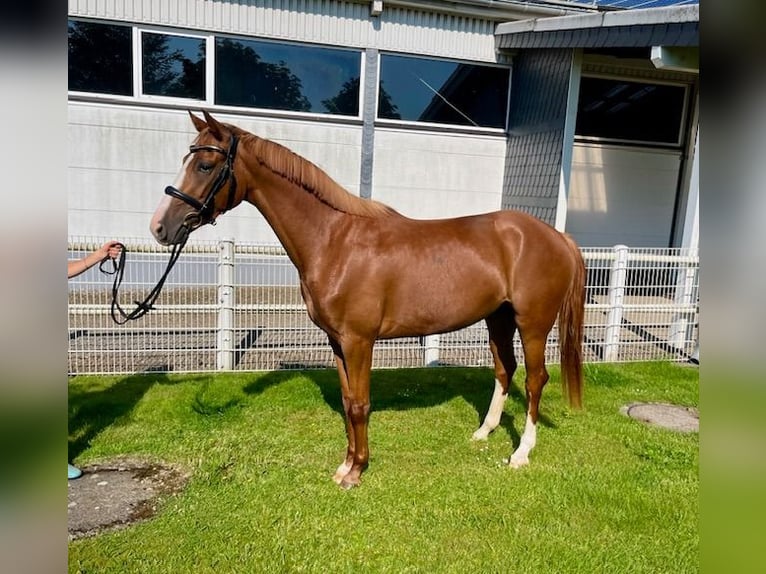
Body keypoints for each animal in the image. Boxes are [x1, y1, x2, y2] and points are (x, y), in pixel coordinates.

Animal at [150, 111, 584, 490]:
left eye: (205, 165)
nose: (159, 227)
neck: (334, 240)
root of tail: (556, 236)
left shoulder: (359, 341)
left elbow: (360, 404)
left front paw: (356, 472)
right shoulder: (337, 342)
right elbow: (347, 402)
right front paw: (345, 465)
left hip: (532, 324)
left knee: (534, 380)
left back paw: (521, 453)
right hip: (499, 318)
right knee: (504, 369)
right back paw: (483, 432)